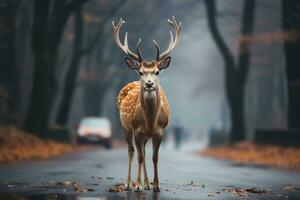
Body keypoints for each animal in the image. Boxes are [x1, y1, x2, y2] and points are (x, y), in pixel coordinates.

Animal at [112, 16, 182, 191]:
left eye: (157, 71)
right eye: (140, 71)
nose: (149, 84)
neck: (150, 121)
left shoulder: (160, 132)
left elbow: (154, 157)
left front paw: (155, 185)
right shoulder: (137, 130)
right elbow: (139, 157)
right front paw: (137, 185)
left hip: (143, 135)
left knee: (142, 151)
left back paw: (146, 183)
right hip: (125, 127)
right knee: (131, 151)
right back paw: (129, 183)